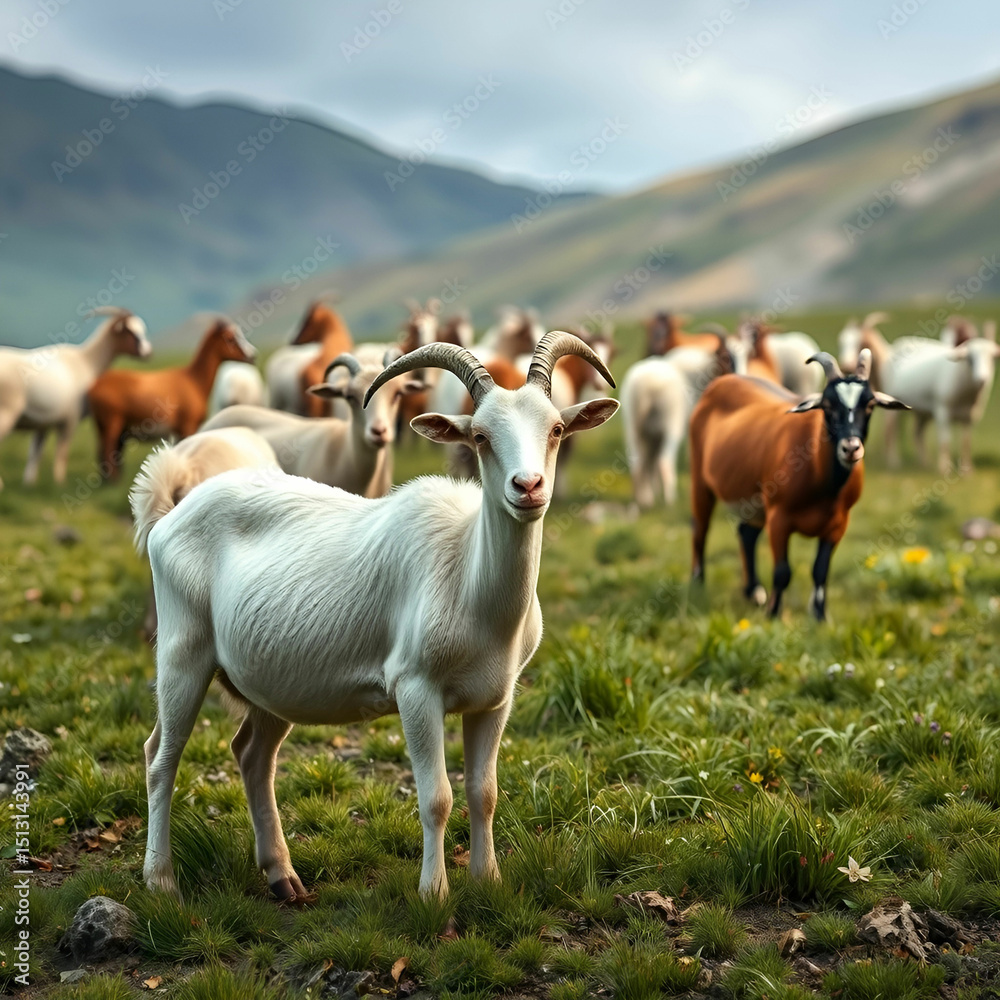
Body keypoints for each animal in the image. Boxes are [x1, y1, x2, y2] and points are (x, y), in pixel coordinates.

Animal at [0, 307, 151, 487]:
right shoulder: (69, 420)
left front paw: (29, 484)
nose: (148, 353)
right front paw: (60, 484)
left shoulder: (43, 424)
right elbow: (62, 453)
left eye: (142, 330)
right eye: (129, 331)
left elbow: (35, 454)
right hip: (5, 413)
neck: (87, 361)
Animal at [88, 319, 255, 479]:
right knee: (108, 451)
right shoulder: (188, 426)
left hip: (105, 425)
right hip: (111, 423)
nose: (253, 355)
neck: (193, 380)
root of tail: (95, 385)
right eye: (230, 339)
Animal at [689, 350, 907, 620]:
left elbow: (820, 570)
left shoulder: (838, 524)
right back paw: (697, 583)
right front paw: (773, 615)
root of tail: (725, 381)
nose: (851, 448)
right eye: (827, 405)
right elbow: (783, 571)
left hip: (755, 502)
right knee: (700, 528)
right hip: (700, 477)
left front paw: (820, 616)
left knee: (746, 533)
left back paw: (754, 592)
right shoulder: (778, 518)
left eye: (869, 404)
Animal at [880, 322, 998, 474]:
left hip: (922, 412)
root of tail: (900, 342)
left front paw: (967, 470)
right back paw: (894, 462)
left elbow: (966, 442)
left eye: (991, 358)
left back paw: (924, 463)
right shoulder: (943, 411)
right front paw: (944, 468)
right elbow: (945, 441)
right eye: (970, 359)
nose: (982, 379)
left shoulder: (970, 417)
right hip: (893, 401)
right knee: (891, 432)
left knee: (917, 433)